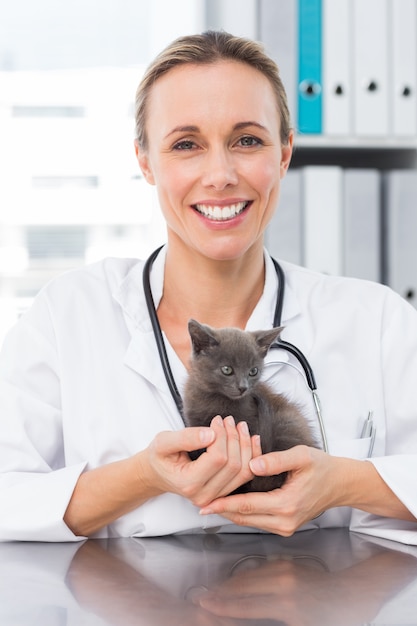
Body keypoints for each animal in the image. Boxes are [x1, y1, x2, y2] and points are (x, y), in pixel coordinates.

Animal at [184, 320, 316, 490]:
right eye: (227, 369)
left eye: (253, 371)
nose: (243, 387)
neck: (218, 401)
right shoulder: (194, 420)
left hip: (287, 421)